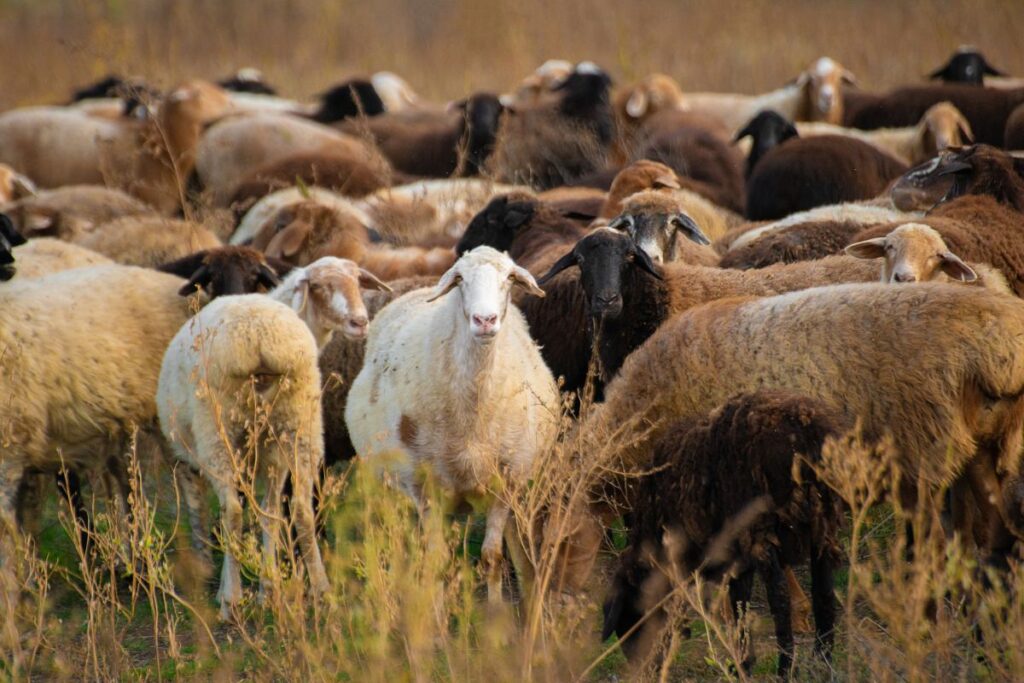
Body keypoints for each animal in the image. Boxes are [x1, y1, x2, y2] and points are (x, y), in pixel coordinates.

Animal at [156, 295, 329, 618]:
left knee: (232, 512)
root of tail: (258, 335)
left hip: (217, 429)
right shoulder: (273, 459)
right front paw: (268, 589)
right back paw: (322, 590)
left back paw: (231, 600)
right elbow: (270, 514)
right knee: (300, 508)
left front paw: (232, 587)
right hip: (299, 425)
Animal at [344, 247, 559, 602]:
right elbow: (436, 559)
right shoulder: (426, 488)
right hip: (390, 482)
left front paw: (496, 614)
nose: (485, 320)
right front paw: (437, 615)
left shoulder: (506, 482)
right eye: (460, 279)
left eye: (509, 278)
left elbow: (491, 558)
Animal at [556, 283, 1024, 594]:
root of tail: (999, 350)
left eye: (555, 530)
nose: (560, 591)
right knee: (998, 531)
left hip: (918, 453)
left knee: (936, 547)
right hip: (984, 447)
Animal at [603, 391, 845, 677]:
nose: (646, 671)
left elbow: (739, 604)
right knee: (824, 594)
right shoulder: (736, 556)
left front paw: (741, 664)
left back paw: (785, 669)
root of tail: (809, 432)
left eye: (633, 619)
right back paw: (823, 662)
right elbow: (740, 603)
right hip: (823, 522)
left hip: (763, 530)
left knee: (781, 601)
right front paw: (743, 661)